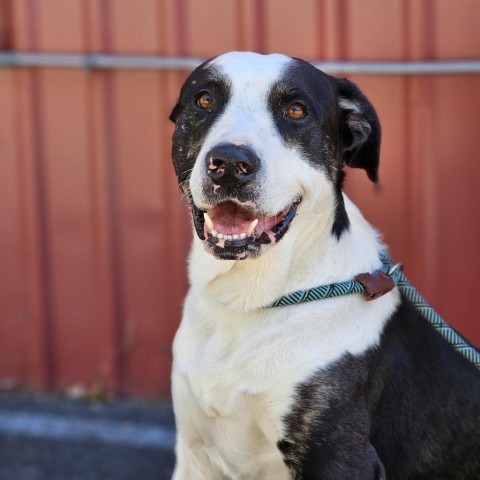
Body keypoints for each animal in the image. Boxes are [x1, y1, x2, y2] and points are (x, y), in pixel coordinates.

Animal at [169, 50, 480, 478]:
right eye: (203, 100)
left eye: (296, 110)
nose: (230, 163)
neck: (246, 303)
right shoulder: (194, 456)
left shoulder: (343, 459)